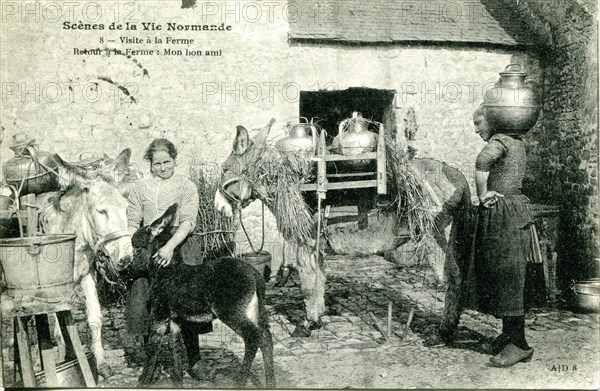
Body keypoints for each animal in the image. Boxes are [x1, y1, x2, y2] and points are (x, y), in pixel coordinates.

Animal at [131, 205, 276, 388]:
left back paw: (241, 380)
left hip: (230, 313)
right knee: (265, 338)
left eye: (135, 246)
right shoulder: (175, 320)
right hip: (252, 310)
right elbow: (176, 350)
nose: (124, 267)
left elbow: (152, 348)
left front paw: (144, 381)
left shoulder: (159, 316)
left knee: (253, 338)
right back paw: (271, 382)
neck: (166, 271)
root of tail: (255, 274)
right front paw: (178, 382)